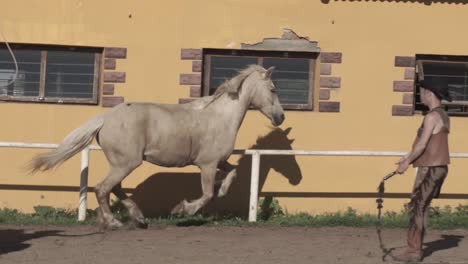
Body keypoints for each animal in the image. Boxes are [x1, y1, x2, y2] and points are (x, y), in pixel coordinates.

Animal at [31, 64, 286, 229]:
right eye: (273, 89)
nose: (281, 117)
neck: (221, 117)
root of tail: (105, 118)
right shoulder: (207, 164)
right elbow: (206, 194)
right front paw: (182, 210)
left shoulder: (219, 161)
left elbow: (232, 173)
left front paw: (222, 189)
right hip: (127, 163)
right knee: (102, 188)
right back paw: (114, 222)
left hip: (121, 164)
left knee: (114, 189)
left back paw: (138, 218)